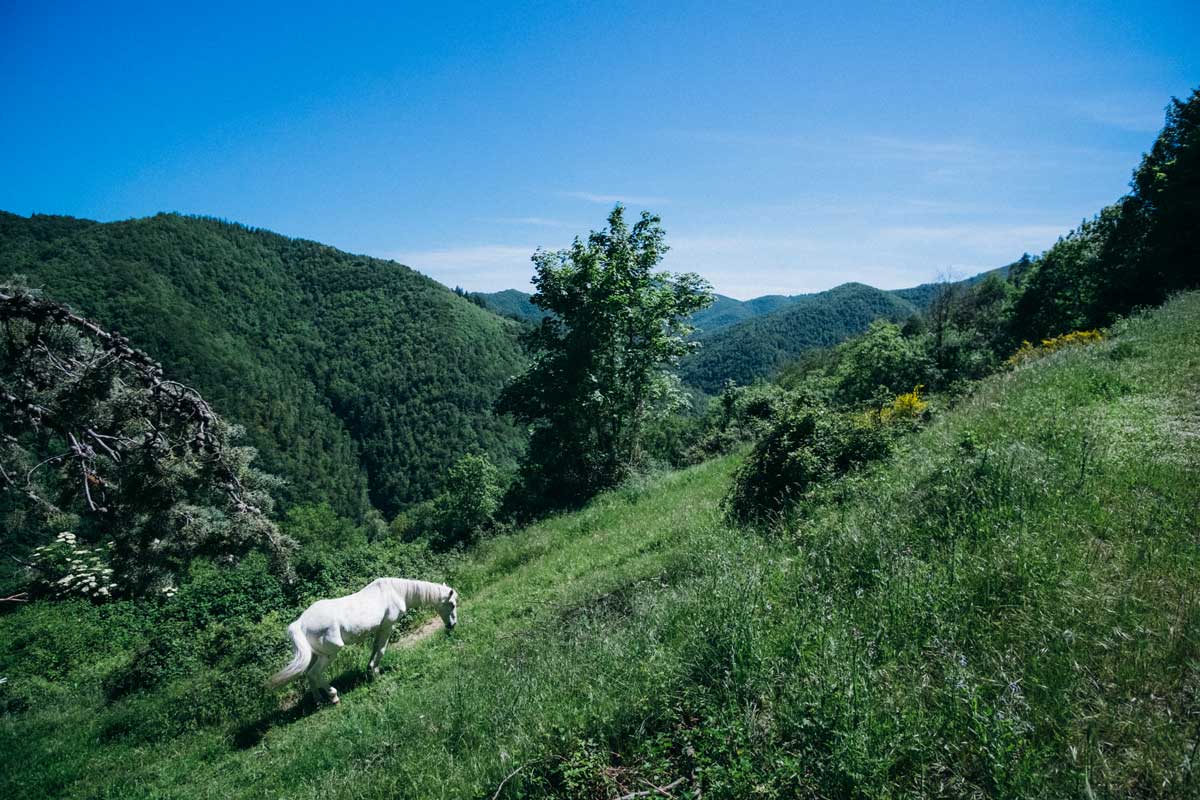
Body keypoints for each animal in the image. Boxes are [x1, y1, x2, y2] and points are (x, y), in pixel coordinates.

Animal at [268, 578, 458, 705]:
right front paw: (375, 673)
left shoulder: (379, 629)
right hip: (329, 654)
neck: (396, 592)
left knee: (309, 675)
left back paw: (319, 701)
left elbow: (375, 649)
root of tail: (300, 623)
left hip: (314, 655)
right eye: (452, 605)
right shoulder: (387, 627)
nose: (452, 625)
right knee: (315, 674)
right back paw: (334, 697)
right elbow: (381, 650)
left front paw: (370, 670)